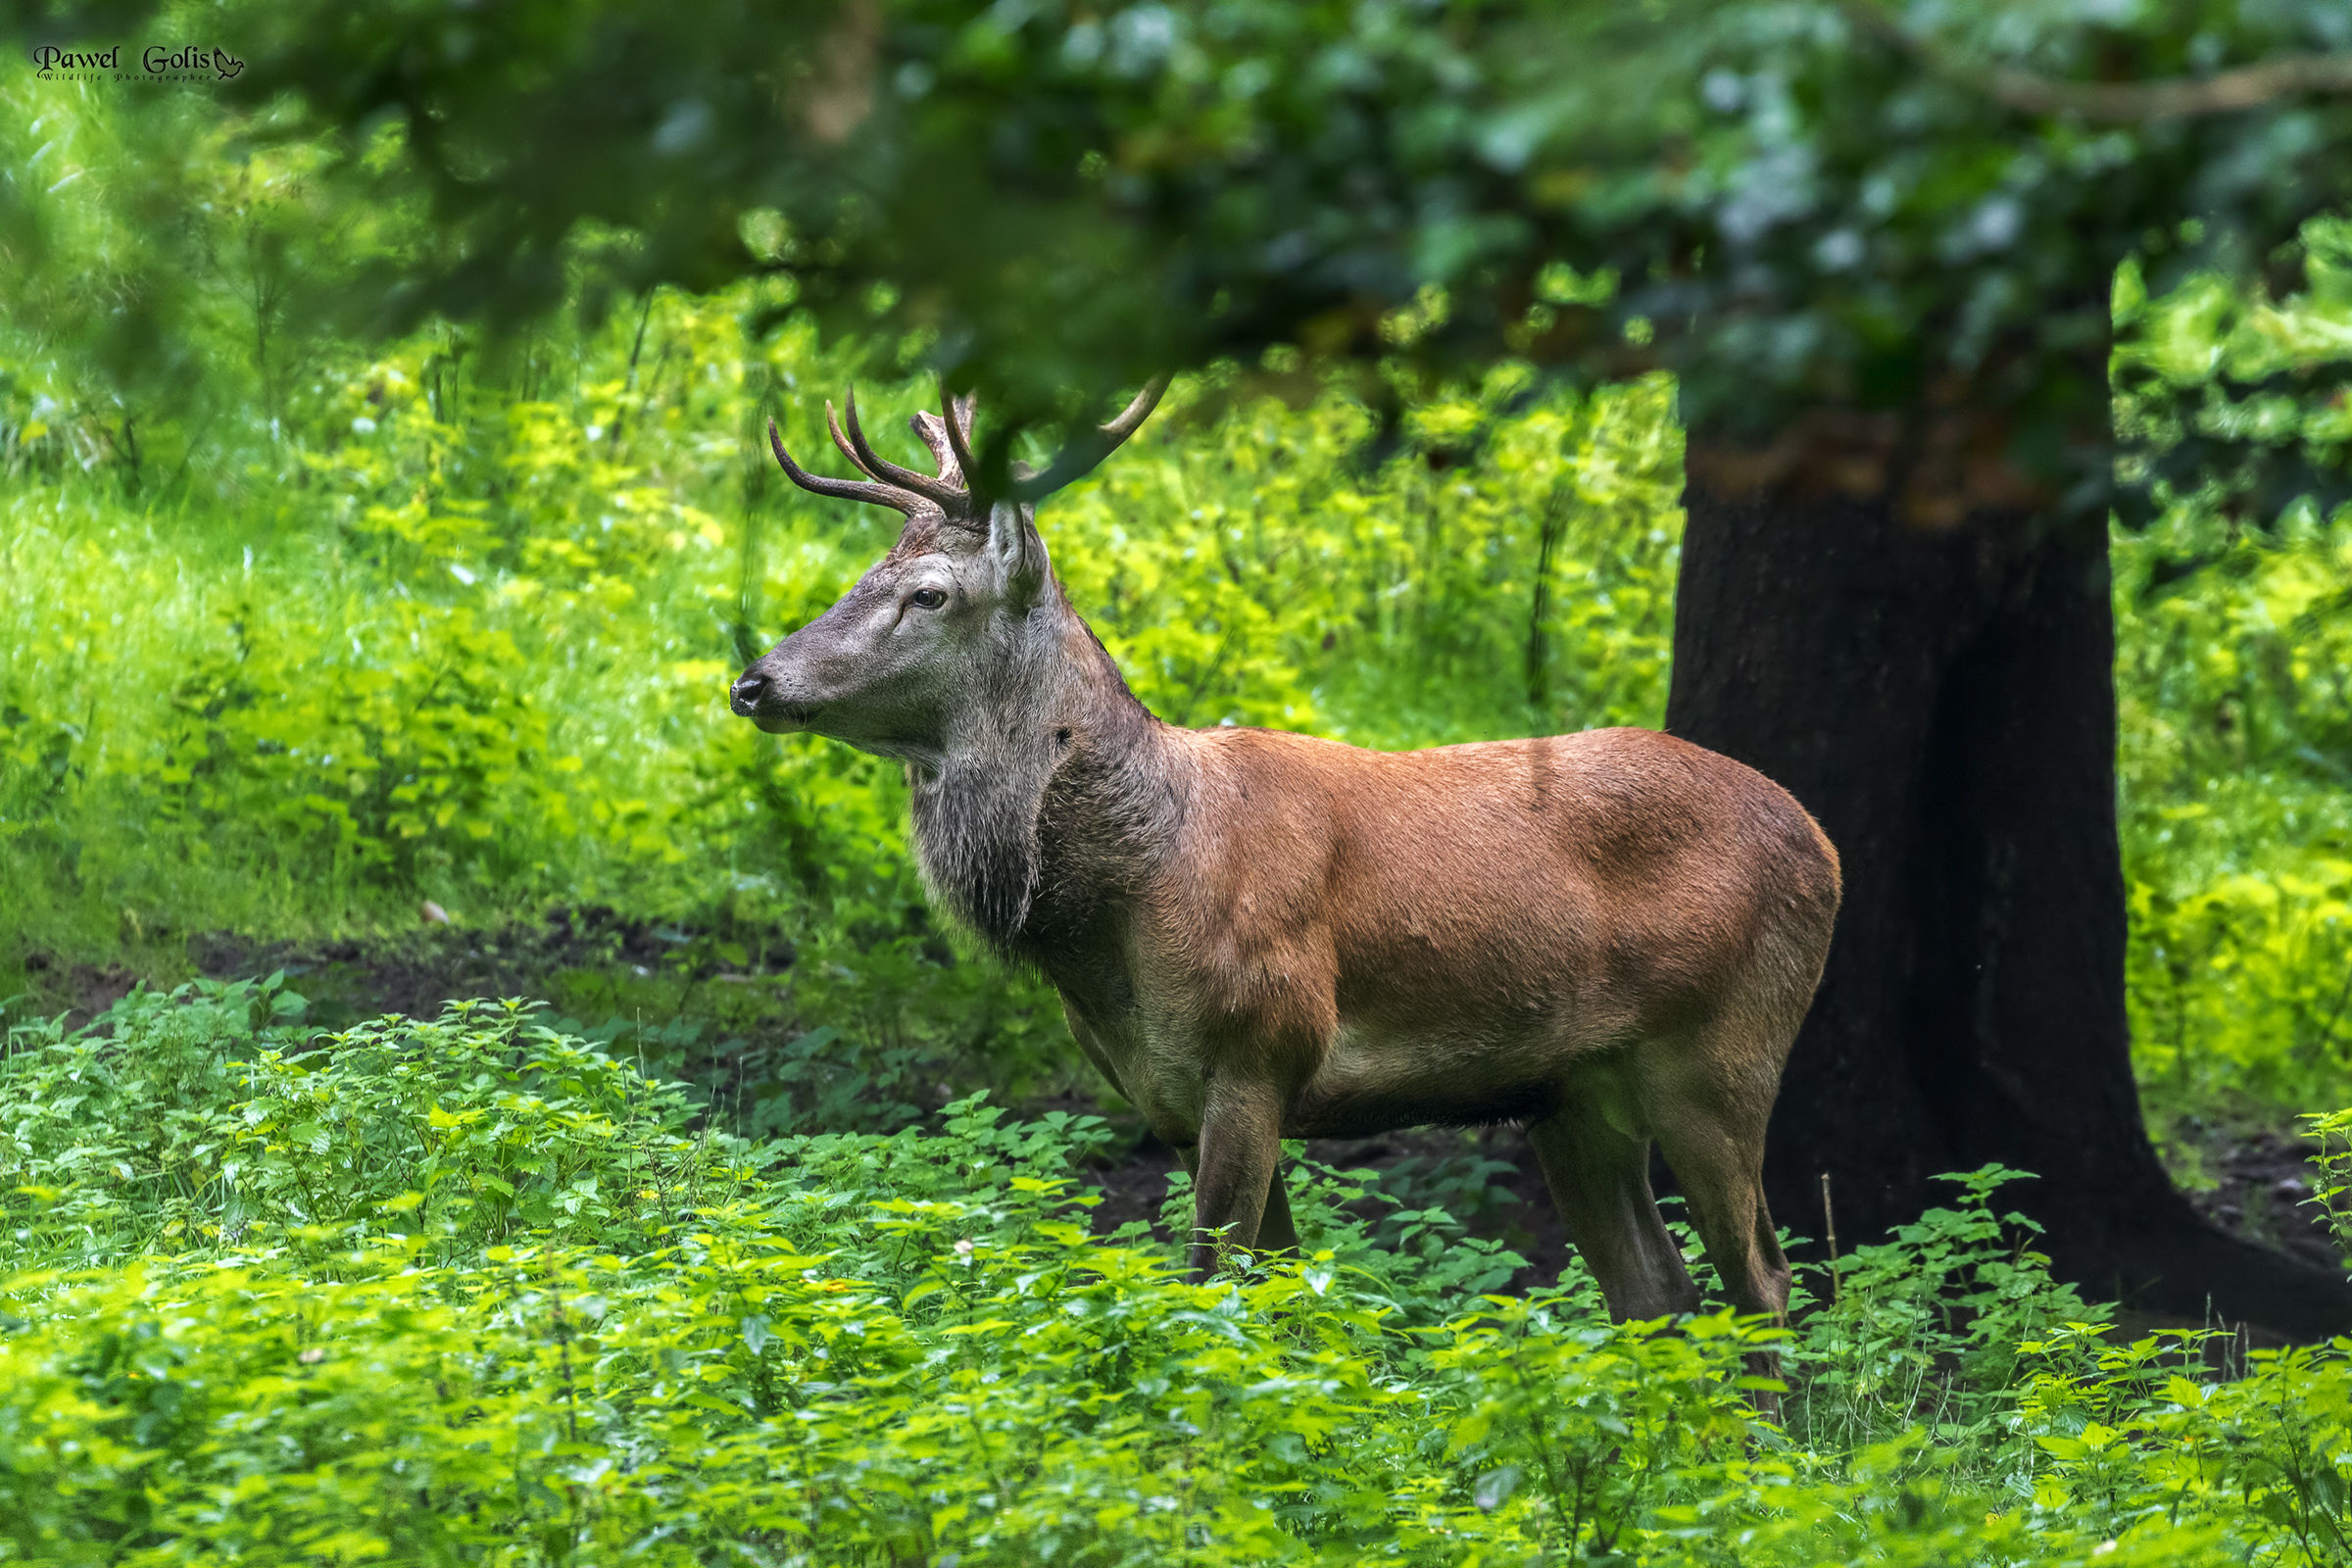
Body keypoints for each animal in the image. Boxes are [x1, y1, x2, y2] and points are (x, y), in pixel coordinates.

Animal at [730, 380, 1841, 1344]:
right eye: (861, 574)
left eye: (928, 593)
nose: (754, 682)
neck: (1124, 911)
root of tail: (1825, 846)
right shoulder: (1165, 1097)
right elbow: (1271, 1287)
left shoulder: (1260, 1045)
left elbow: (1214, 1282)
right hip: (1569, 1094)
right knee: (1656, 1292)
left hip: (1723, 1055)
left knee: (1765, 1281)